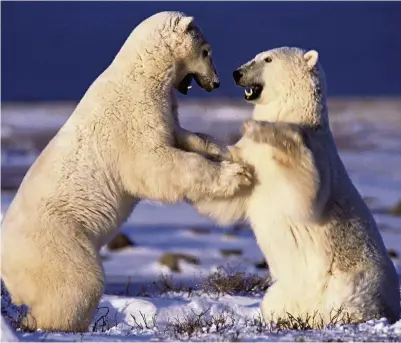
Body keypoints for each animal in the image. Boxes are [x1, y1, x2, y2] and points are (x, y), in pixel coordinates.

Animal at [0, 12, 252, 334]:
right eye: (207, 51)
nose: (216, 83)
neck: (141, 73)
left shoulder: (164, 112)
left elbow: (185, 137)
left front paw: (225, 151)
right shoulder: (132, 119)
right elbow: (155, 164)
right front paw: (236, 173)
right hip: (56, 242)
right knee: (77, 283)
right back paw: (55, 325)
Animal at [191, 47, 400, 326]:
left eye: (267, 59)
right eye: (256, 56)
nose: (237, 73)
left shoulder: (317, 153)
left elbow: (304, 193)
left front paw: (262, 128)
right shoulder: (251, 161)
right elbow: (228, 197)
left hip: (351, 278)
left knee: (348, 299)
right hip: (285, 291)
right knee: (273, 302)